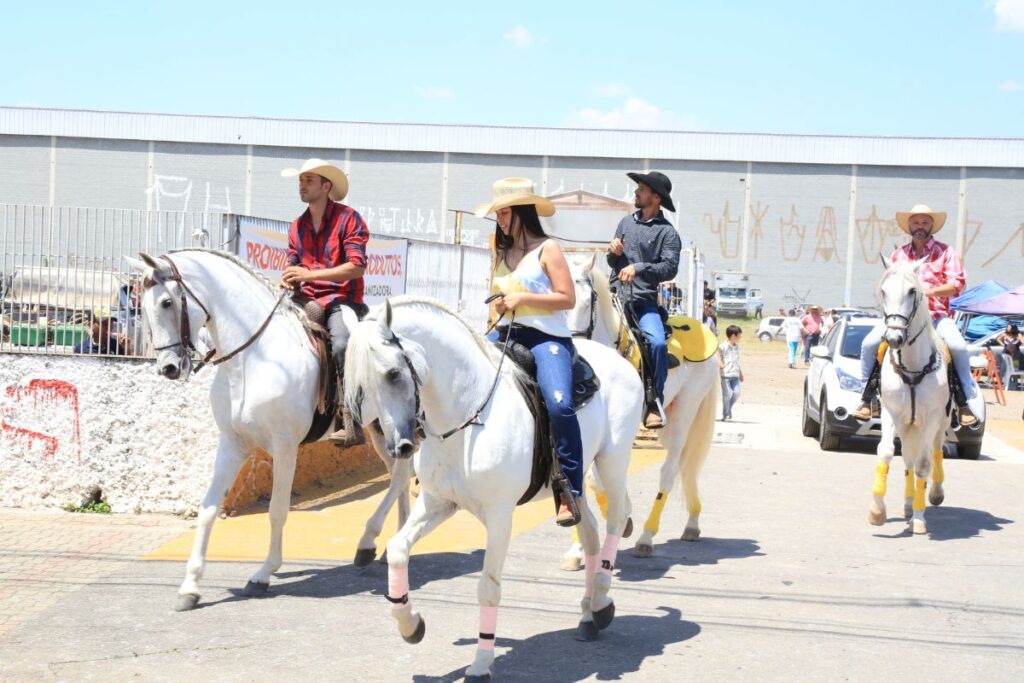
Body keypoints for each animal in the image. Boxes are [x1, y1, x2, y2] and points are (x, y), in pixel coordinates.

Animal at [128, 248, 411, 610]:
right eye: (142, 305)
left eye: (166, 302)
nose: (169, 368)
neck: (253, 359)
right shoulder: (232, 445)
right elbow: (208, 509)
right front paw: (190, 587)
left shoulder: (285, 446)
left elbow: (277, 511)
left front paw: (263, 574)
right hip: (379, 431)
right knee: (399, 475)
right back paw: (394, 543)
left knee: (402, 475)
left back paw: (369, 542)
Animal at [348, 296, 643, 679]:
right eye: (361, 385)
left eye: (393, 374)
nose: (399, 447)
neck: (467, 416)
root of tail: (619, 360)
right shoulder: (437, 502)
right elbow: (398, 550)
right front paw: (410, 623)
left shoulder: (500, 515)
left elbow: (488, 588)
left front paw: (480, 664)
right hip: (575, 486)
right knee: (590, 532)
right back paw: (589, 613)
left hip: (613, 460)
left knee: (617, 518)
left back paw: (603, 599)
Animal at [561, 255, 720, 561]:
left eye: (587, 301)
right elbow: (585, 481)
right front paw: (577, 549)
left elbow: (598, 481)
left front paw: (624, 518)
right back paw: (691, 523)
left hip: (686, 411)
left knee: (669, 472)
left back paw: (647, 537)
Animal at [872, 260, 950, 532]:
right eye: (883, 290)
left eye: (912, 291)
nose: (894, 338)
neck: (914, 368)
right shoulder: (891, 413)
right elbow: (886, 452)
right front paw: (877, 511)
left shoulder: (932, 418)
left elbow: (924, 464)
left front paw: (919, 518)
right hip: (907, 426)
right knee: (907, 459)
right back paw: (907, 503)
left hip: (941, 424)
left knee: (935, 452)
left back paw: (934, 494)